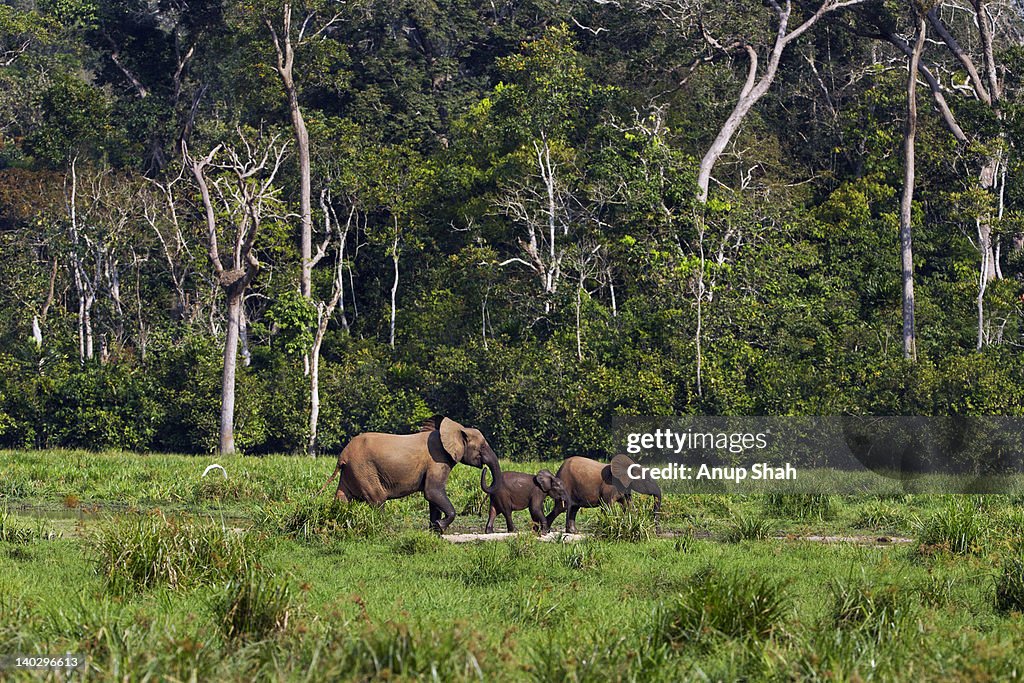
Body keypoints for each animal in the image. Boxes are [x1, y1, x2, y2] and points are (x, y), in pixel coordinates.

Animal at [316, 415, 503, 533]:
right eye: (482, 447)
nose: (484, 468)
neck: (456, 428)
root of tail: (343, 455)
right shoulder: (437, 461)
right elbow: (433, 492)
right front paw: (440, 527)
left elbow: (432, 498)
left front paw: (435, 530)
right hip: (364, 471)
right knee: (377, 499)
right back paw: (384, 530)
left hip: (351, 472)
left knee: (341, 499)